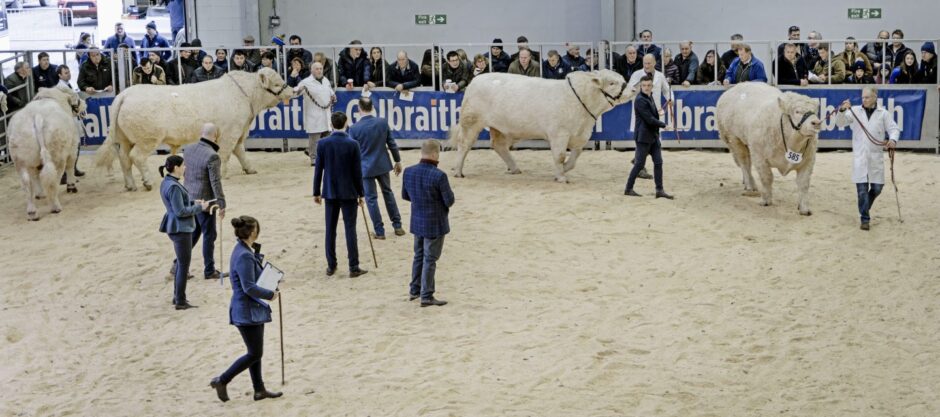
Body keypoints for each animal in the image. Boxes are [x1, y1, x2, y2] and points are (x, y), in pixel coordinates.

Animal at [716, 81, 820, 214]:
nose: (817, 123)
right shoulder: (759, 157)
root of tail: (739, 85)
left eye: (814, 111)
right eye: (797, 111)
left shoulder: (808, 161)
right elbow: (767, 177)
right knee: (745, 164)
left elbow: (804, 183)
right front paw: (766, 200)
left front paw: (804, 208)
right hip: (734, 139)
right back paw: (750, 185)